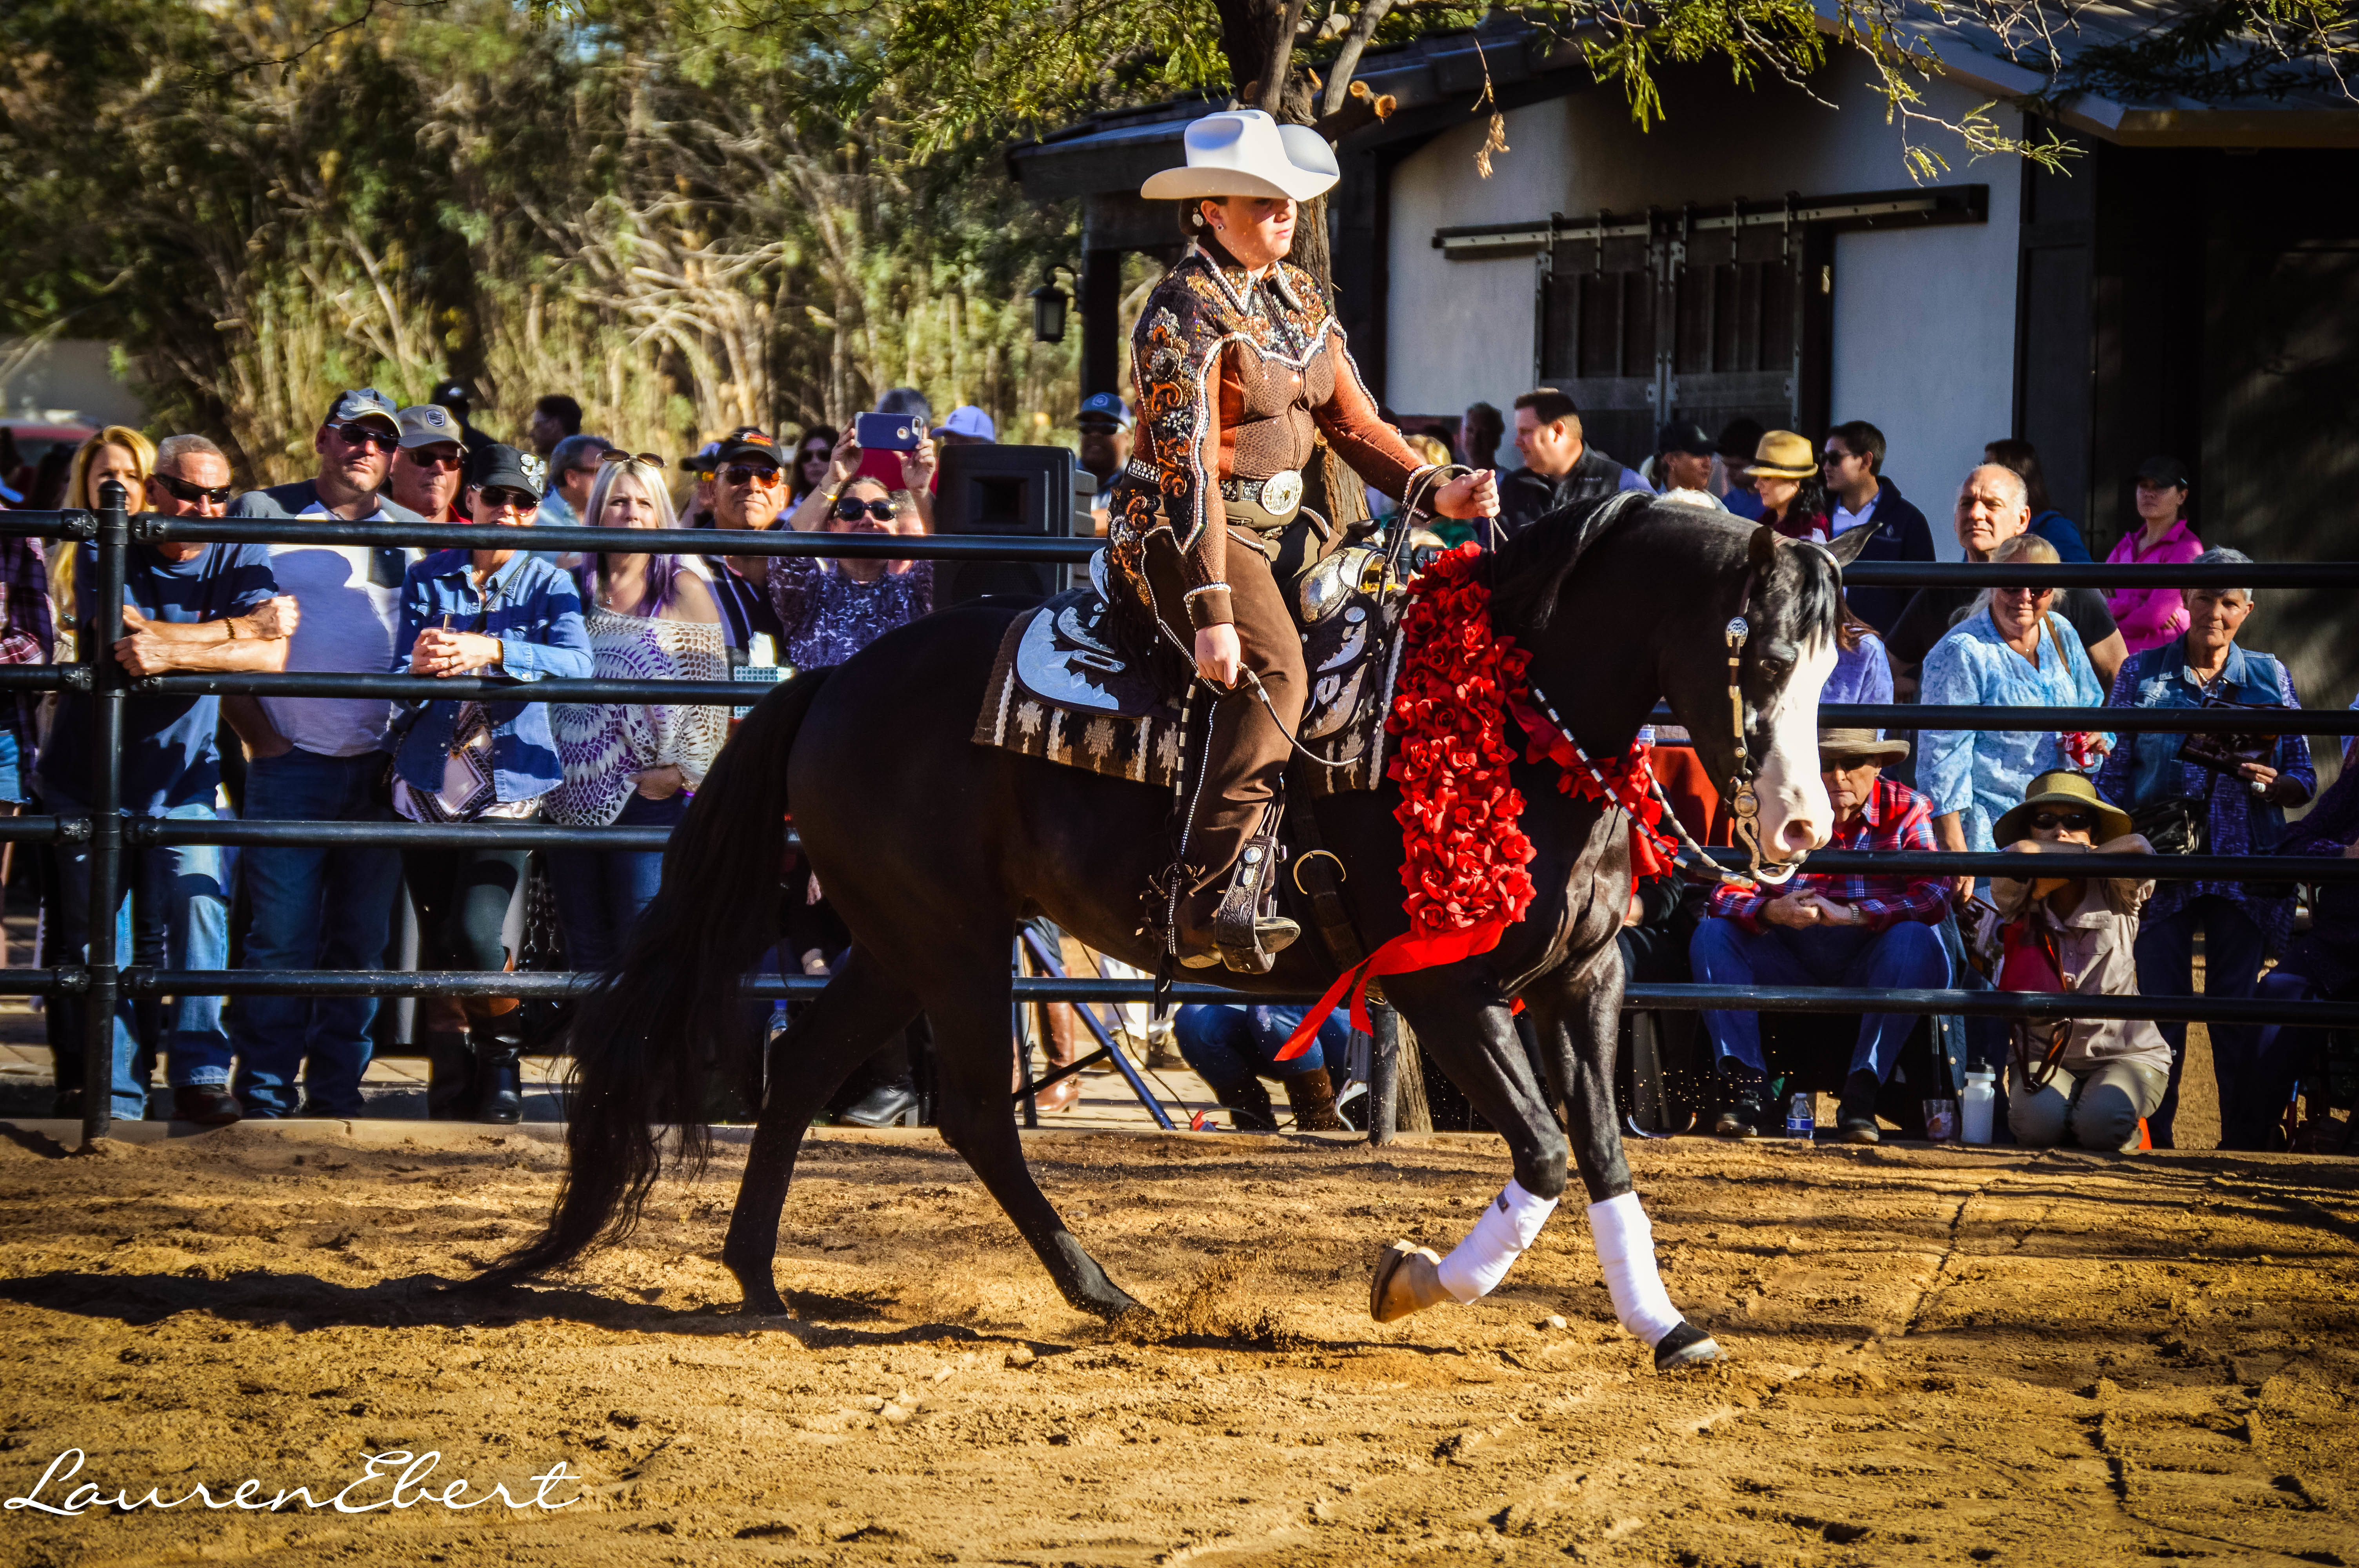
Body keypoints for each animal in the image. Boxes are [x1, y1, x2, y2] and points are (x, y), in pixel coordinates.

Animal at [486, 495, 1875, 1370]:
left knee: (802, 1073)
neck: (1511, 713)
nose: (1801, 824)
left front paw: (1665, 1325)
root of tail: (834, 681)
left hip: (898, 941)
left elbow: (1603, 1156)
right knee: (973, 1113)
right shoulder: (1447, 994)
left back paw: (762, 1284)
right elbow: (1538, 1158)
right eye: (1757, 655)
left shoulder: (1582, 984)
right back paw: (1100, 1291)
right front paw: (1410, 1283)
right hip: (951, 942)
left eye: (1828, 664)